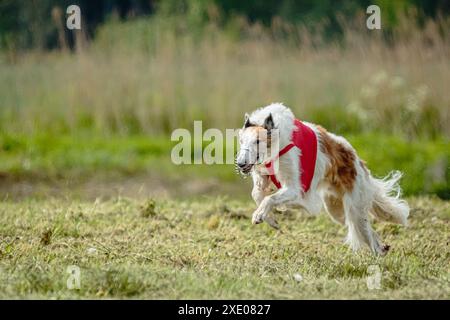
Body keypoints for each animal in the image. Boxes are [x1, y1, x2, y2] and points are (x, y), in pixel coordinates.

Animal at [237, 102, 410, 255]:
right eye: (241, 141)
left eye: (258, 141)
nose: (240, 163)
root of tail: (358, 161)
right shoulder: (265, 178)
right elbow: (257, 193)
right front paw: (271, 219)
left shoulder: (296, 190)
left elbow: (270, 198)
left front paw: (259, 215)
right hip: (336, 209)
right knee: (370, 232)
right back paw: (383, 249)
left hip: (354, 208)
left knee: (368, 234)